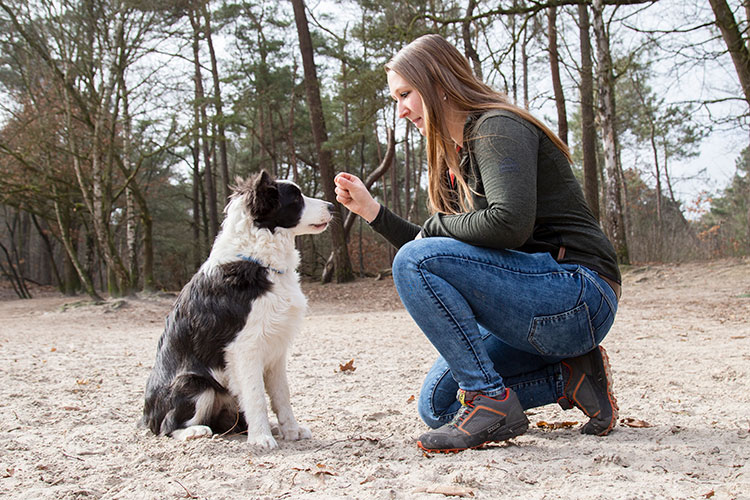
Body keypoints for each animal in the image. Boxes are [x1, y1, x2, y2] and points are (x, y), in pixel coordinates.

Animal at [143, 172, 334, 450]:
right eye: (296, 198)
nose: (332, 206)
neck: (258, 260)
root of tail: (146, 417)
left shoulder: (276, 349)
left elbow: (282, 396)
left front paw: (291, 430)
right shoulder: (245, 348)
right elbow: (256, 397)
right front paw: (261, 438)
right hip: (194, 383)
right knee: (166, 427)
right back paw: (194, 432)